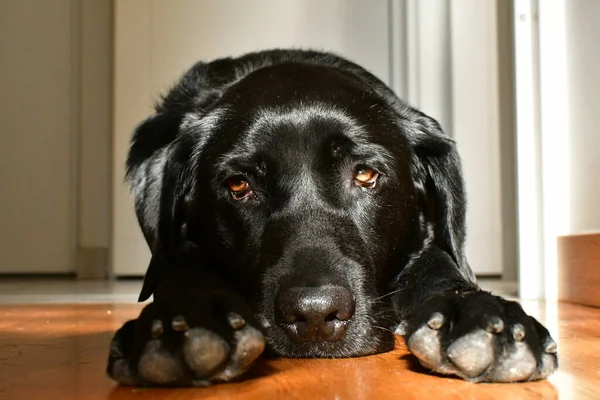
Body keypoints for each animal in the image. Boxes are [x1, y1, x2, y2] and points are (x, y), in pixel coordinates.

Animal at [106, 48, 556, 386]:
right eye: (238, 185)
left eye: (366, 174)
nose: (315, 315)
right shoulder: (179, 251)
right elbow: (183, 267)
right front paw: (190, 321)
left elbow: (441, 264)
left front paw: (480, 314)